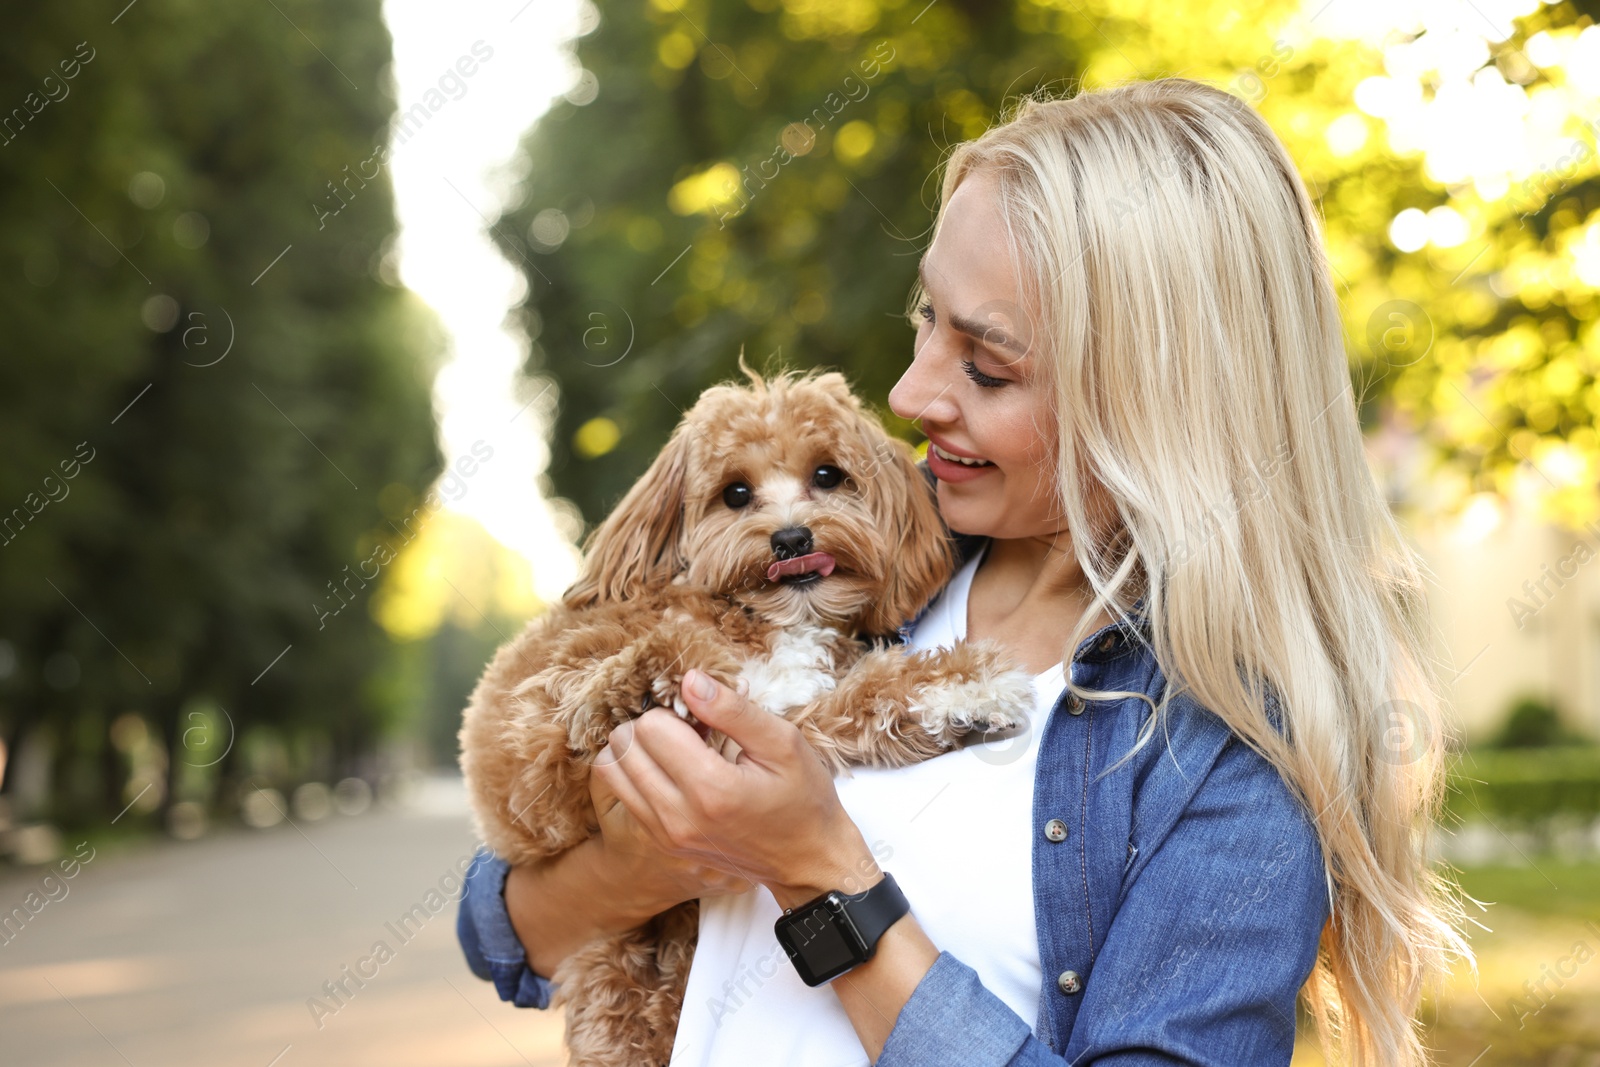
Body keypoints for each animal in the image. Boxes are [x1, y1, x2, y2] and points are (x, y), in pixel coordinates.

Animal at [457, 364, 1030, 1067]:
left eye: (827, 475)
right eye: (735, 493)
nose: (791, 538)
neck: (764, 619)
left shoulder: (790, 716)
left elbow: (860, 700)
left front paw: (965, 691)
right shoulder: (536, 736)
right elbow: (590, 695)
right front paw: (656, 678)